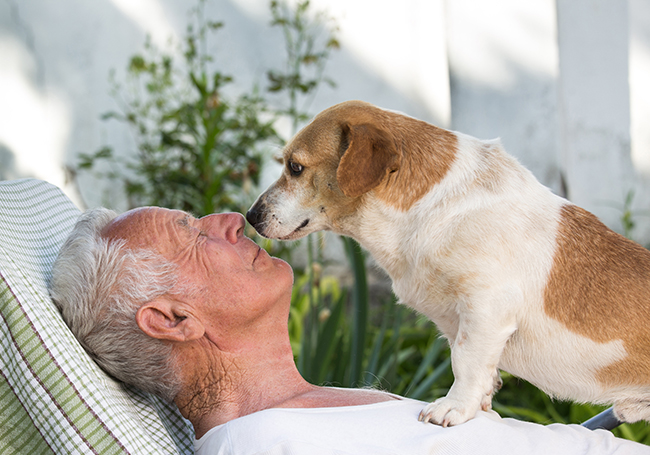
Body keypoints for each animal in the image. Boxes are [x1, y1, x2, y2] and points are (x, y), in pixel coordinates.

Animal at [244, 100, 648, 428]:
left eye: (295, 167)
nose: (250, 216)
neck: (435, 208)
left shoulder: (486, 310)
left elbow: (465, 362)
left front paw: (453, 408)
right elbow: (480, 372)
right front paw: (480, 409)